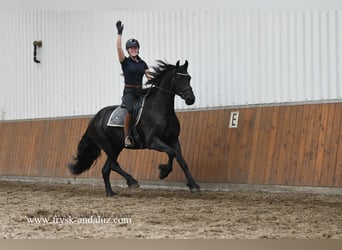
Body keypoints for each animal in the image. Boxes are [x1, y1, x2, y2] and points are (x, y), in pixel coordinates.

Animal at [68, 59, 200, 196]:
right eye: (178, 78)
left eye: (189, 78)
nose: (191, 99)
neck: (160, 109)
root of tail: (93, 119)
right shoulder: (152, 142)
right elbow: (171, 152)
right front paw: (163, 172)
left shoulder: (173, 139)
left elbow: (181, 159)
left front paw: (193, 185)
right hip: (107, 145)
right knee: (114, 165)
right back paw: (132, 181)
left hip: (116, 146)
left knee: (106, 169)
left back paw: (110, 193)